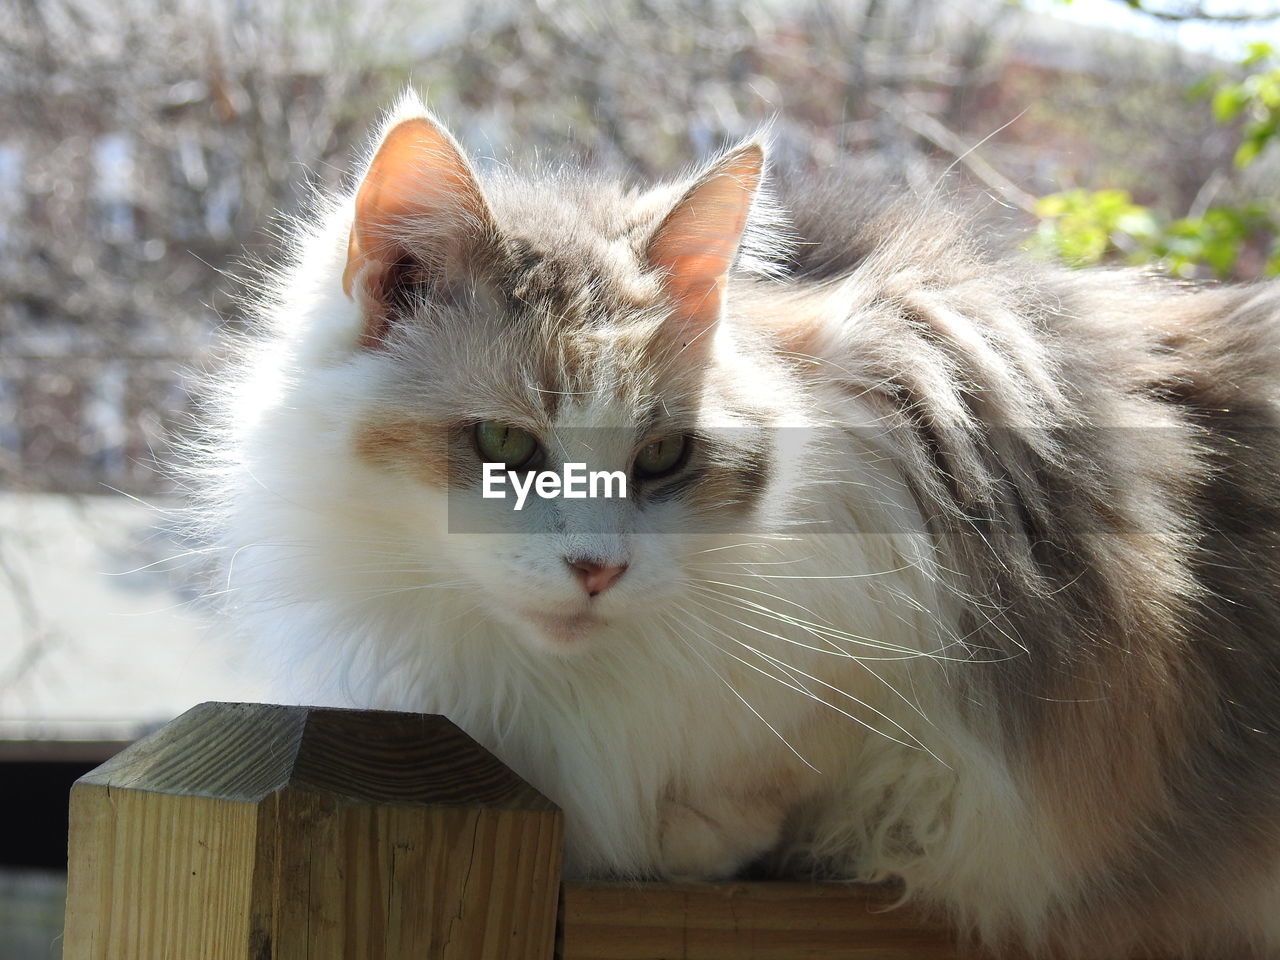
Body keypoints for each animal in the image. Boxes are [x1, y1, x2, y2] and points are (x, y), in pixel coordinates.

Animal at [186, 86, 1280, 957]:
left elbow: (792, 767)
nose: (598, 572)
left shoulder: (923, 571)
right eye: (502, 442)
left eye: (664, 456)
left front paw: (695, 832)